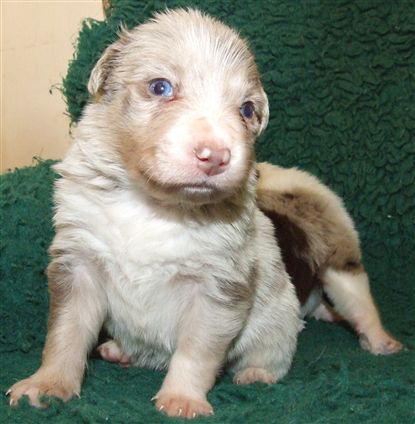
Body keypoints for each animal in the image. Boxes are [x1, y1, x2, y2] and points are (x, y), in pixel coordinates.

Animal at [7, 8, 401, 419]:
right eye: (160, 87)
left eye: (247, 110)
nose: (215, 156)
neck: (154, 206)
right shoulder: (79, 261)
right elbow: (66, 332)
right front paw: (47, 385)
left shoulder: (219, 286)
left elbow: (197, 350)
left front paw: (182, 398)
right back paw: (120, 351)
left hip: (305, 293)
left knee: (322, 322)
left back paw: (274, 369)